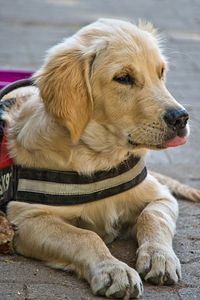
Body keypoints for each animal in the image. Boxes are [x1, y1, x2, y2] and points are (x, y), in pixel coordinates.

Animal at [0, 18, 199, 298]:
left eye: (161, 73)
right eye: (123, 78)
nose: (181, 118)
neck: (99, 158)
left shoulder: (161, 196)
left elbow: (152, 217)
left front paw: (159, 257)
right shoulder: (28, 218)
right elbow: (84, 236)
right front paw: (113, 269)